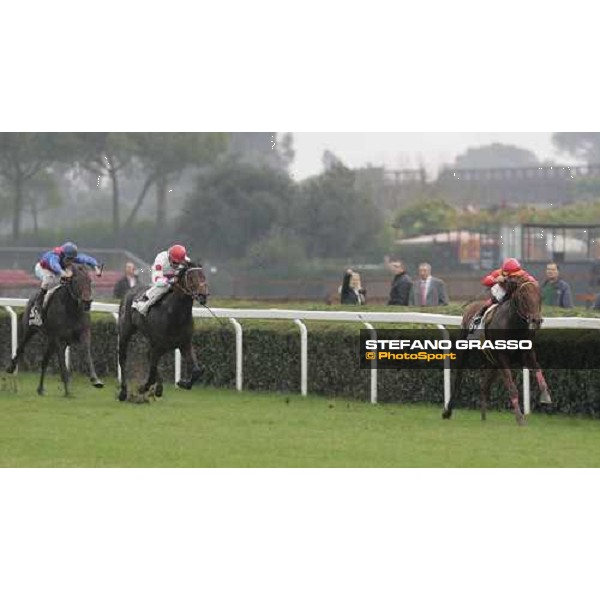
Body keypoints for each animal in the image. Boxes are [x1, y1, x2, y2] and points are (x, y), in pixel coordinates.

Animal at [5, 264, 103, 396]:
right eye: (76, 281)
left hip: (51, 341)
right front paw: (67, 391)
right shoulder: (58, 339)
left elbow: (87, 352)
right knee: (21, 348)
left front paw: (95, 379)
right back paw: (11, 368)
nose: (86, 302)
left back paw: (40, 389)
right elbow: (62, 364)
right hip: (30, 330)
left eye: (90, 281)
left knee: (44, 361)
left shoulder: (83, 333)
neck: (72, 310)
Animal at [118, 262, 209, 404]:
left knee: (148, 355)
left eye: (203, 276)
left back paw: (158, 388)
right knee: (123, 358)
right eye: (191, 278)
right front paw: (143, 387)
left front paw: (183, 383)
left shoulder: (184, 343)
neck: (175, 313)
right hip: (125, 331)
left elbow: (196, 370)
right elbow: (152, 371)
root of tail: (130, 290)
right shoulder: (158, 345)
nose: (203, 295)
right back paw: (123, 392)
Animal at [442, 278, 552, 426]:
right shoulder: (502, 358)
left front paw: (546, 396)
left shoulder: (527, 355)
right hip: (466, 351)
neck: (513, 326)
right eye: (523, 297)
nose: (536, 320)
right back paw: (447, 411)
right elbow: (512, 387)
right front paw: (520, 418)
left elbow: (539, 371)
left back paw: (483, 417)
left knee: (484, 385)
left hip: (493, 362)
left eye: (540, 297)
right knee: (458, 379)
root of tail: (470, 307)